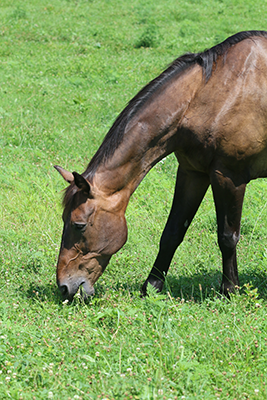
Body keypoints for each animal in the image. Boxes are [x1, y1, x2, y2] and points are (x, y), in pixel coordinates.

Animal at [55, 31, 267, 300]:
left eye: (79, 225)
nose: (64, 286)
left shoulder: (229, 176)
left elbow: (227, 237)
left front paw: (229, 290)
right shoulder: (192, 173)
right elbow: (172, 232)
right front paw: (152, 286)